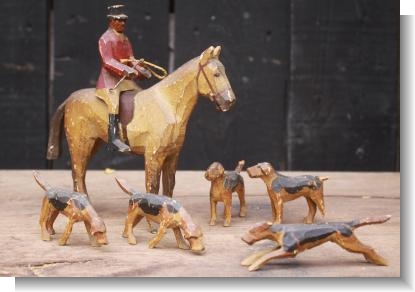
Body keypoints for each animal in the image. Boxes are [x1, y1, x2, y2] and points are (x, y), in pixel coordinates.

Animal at [242, 216, 392, 270]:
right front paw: (249, 261)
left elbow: (266, 256)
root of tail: (347, 223)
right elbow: (262, 253)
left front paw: (254, 266)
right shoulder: (280, 247)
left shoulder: (289, 251)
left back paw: (382, 261)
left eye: (252, 231)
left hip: (348, 244)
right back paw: (371, 259)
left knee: (369, 248)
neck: (279, 230)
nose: (243, 239)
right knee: (366, 249)